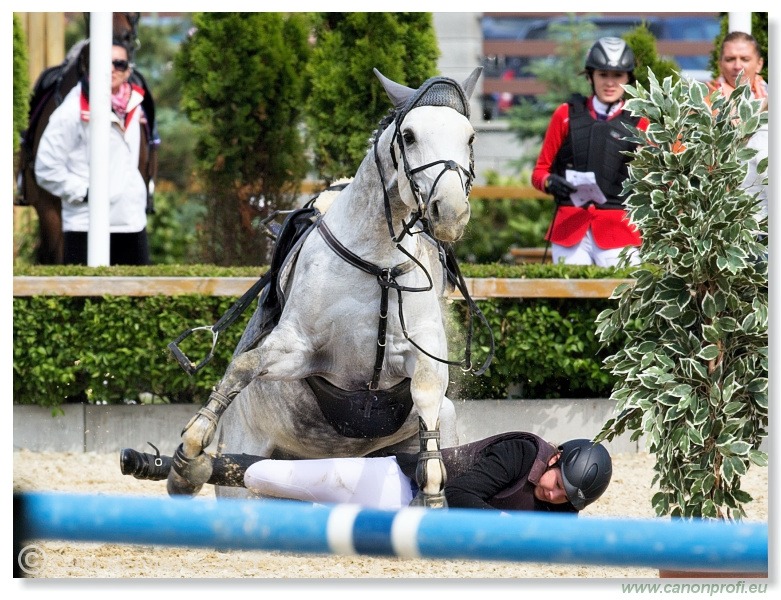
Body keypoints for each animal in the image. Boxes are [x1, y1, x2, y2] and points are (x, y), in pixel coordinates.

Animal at [169, 67, 488, 506]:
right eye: (408, 136)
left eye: (470, 137)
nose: (451, 213)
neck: (378, 264)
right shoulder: (301, 350)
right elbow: (245, 365)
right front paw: (188, 457)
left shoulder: (422, 357)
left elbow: (427, 398)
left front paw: (432, 490)